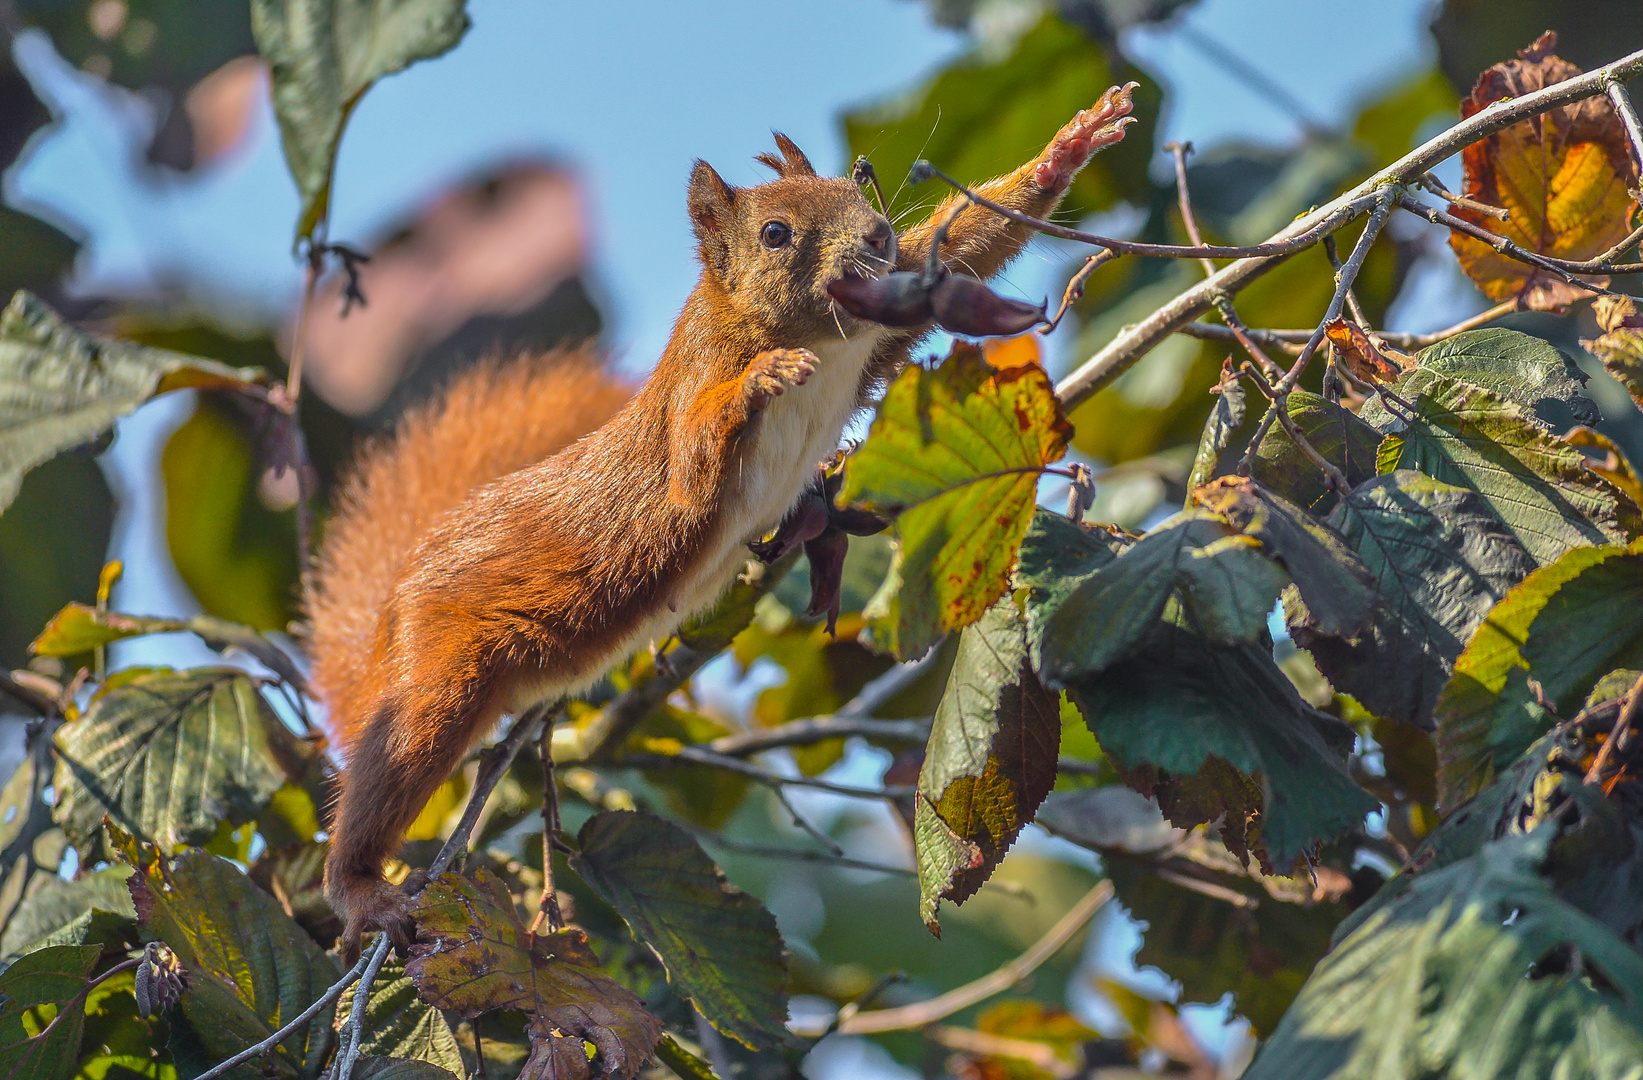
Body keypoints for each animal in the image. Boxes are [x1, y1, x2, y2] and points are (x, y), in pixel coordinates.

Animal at [302, 82, 1136, 946]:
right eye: (775, 234)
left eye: (853, 192)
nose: (875, 235)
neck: (813, 335)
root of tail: (395, 606)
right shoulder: (691, 399)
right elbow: (694, 461)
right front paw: (762, 380)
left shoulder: (889, 315)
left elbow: (967, 250)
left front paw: (1068, 147)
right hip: (442, 668)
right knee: (394, 762)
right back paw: (361, 888)